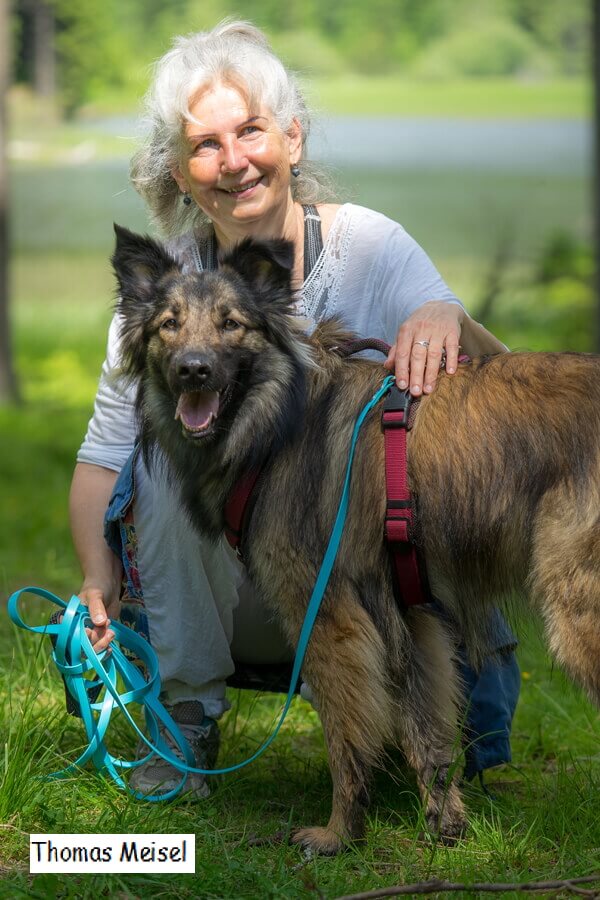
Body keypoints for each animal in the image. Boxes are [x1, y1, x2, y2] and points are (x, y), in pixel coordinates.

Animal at [110, 225, 600, 856]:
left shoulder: (329, 615)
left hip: (576, 611)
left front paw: (339, 833)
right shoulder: (408, 616)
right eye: (169, 324)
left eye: (230, 323)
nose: (193, 370)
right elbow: (425, 729)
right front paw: (444, 823)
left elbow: (346, 736)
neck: (279, 418)